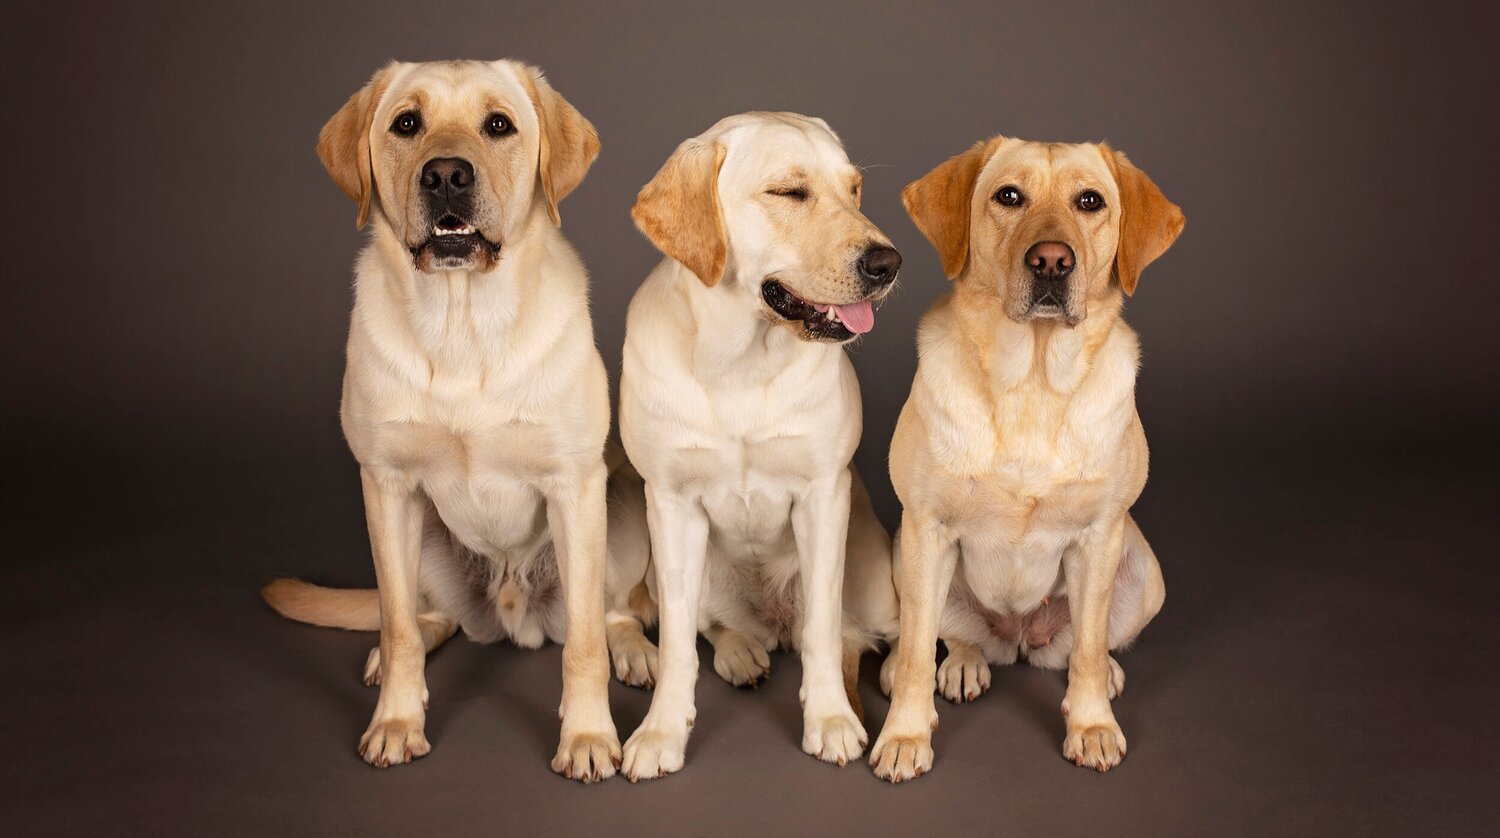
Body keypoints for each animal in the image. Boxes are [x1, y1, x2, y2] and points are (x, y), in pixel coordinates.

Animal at [261, 60, 624, 785]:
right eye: (407, 123)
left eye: (499, 125)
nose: (448, 175)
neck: (463, 324)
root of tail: (509, 616)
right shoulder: (387, 485)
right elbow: (398, 623)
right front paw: (398, 722)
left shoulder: (576, 486)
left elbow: (584, 645)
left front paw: (588, 735)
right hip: (422, 539)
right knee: (421, 618)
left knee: (618, 613)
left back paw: (640, 650)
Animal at [600, 111, 900, 779]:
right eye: (789, 192)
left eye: (854, 190)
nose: (888, 262)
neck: (739, 363)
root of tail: (773, 623)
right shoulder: (671, 505)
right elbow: (679, 643)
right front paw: (661, 732)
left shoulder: (823, 496)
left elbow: (824, 632)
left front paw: (831, 719)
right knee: (681, 621)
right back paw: (722, 651)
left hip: (871, 574)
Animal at [876, 134, 1188, 785]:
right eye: (1009, 197)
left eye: (1090, 201)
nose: (1050, 261)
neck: (1033, 385)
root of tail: (1017, 636)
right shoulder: (927, 528)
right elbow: (917, 651)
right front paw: (904, 734)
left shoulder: (1098, 536)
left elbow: (1089, 649)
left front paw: (1091, 726)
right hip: (904, 554)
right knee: (941, 635)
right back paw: (958, 663)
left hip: (1144, 573)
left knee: (1084, 646)